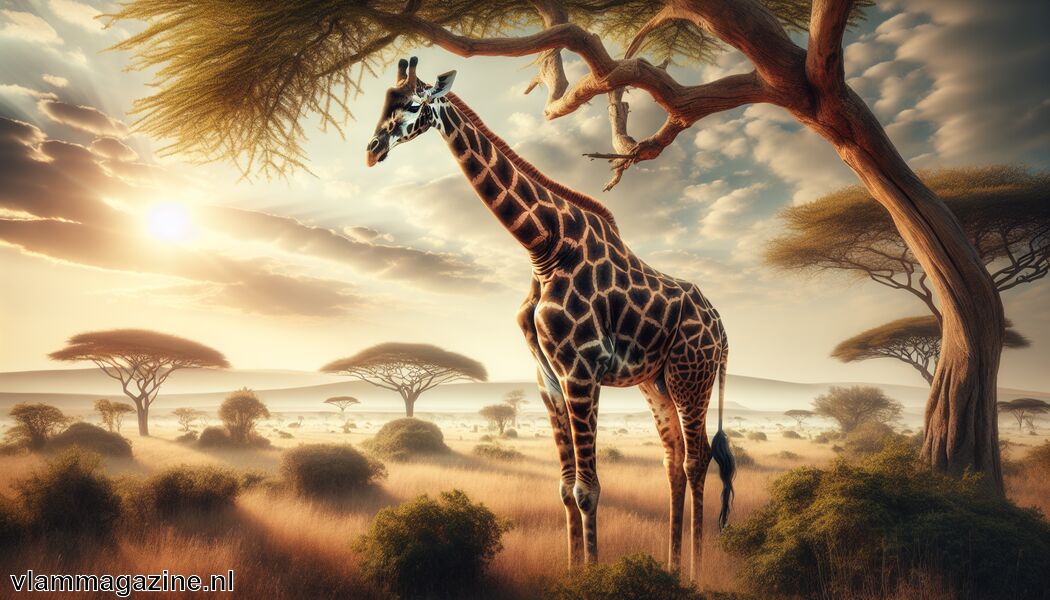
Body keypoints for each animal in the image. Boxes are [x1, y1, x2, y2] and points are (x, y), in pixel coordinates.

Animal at [365, 57, 735, 579]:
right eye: (385, 100)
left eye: (415, 104)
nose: (372, 151)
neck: (545, 247)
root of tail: (722, 330)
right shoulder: (548, 378)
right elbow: (564, 489)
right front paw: (573, 571)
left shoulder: (581, 372)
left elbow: (587, 489)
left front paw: (593, 578)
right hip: (656, 382)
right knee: (673, 460)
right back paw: (670, 566)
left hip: (692, 377)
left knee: (697, 460)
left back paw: (694, 574)